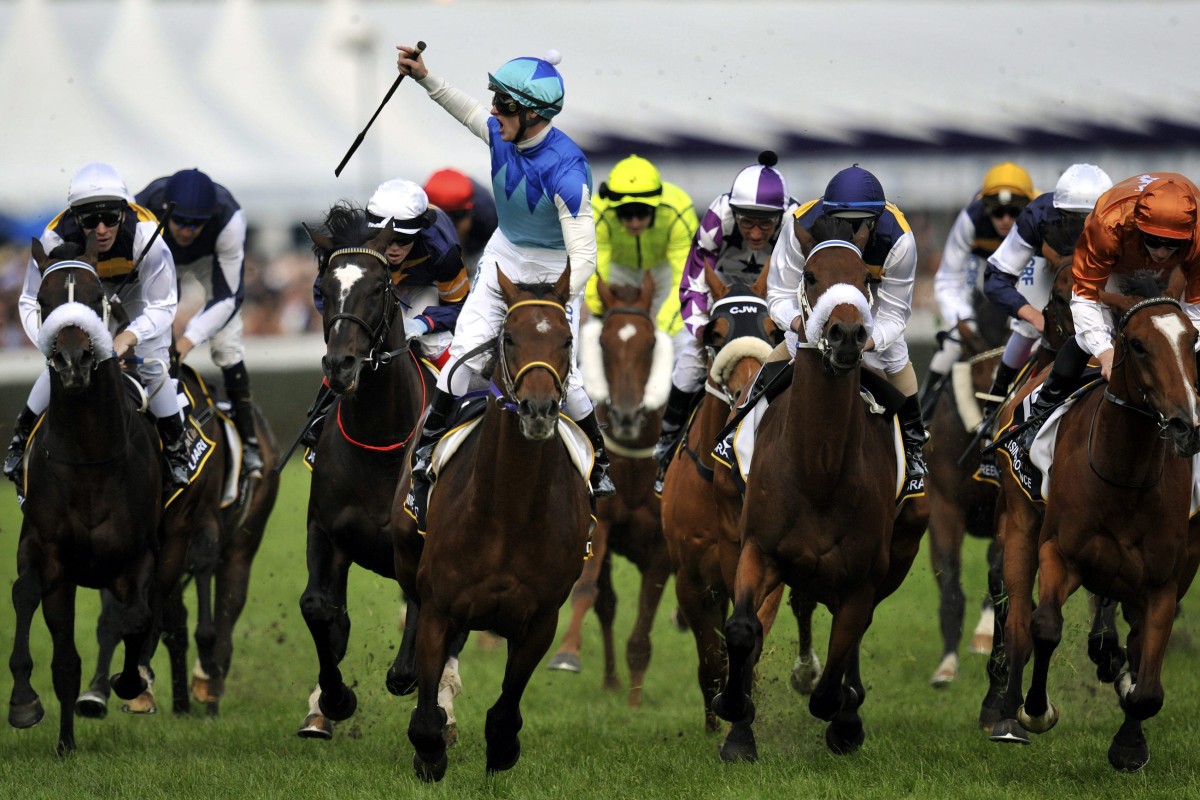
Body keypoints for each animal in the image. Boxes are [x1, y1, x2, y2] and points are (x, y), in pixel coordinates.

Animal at [7, 239, 159, 758]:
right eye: (46, 299)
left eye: (97, 298)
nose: (73, 361)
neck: (91, 458)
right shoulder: (45, 552)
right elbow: (25, 593)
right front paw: (23, 703)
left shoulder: (137, 557)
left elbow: (134, 617)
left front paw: (129, 683)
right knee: (67, 660)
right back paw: (67, 742)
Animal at [405, 268, 592, 782]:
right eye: (509, 339)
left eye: (567, 340)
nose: (538, 409)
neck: (507, 512)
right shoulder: (438, 608)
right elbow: (426, 714)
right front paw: (430, 753)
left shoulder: (539, 620)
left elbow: (506, 711)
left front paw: (501, 750)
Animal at [544, 273, 676, 705]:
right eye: (603, 343)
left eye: (650, 343)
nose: (625, 416)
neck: (635, 462)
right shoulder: (600, 524)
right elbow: (588, 592)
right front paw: (567, 653)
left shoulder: (662, 547)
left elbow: (642, 630)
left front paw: (634, 705)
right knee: (606, 603)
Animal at [710, 220, 926, 762]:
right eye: (809, 275)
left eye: (866, 277)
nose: (846, 334)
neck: (819, 472)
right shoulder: (758, 548)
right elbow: (742, 629)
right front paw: (731, 705)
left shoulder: (863, 578)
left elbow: (834, 676)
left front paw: (844, 717)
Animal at [984, 273, 1200, 767]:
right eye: (1137, 345)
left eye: (1191, 340)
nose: (1185, 425)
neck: (1125, 477)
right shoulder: (1059, 551)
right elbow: (1044, 626)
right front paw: (1034, 711)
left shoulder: (1165, 579)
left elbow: (1149, 682)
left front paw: (1129, 742)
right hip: (1020, 520)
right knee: (1019, 620)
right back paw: (1006, 712)